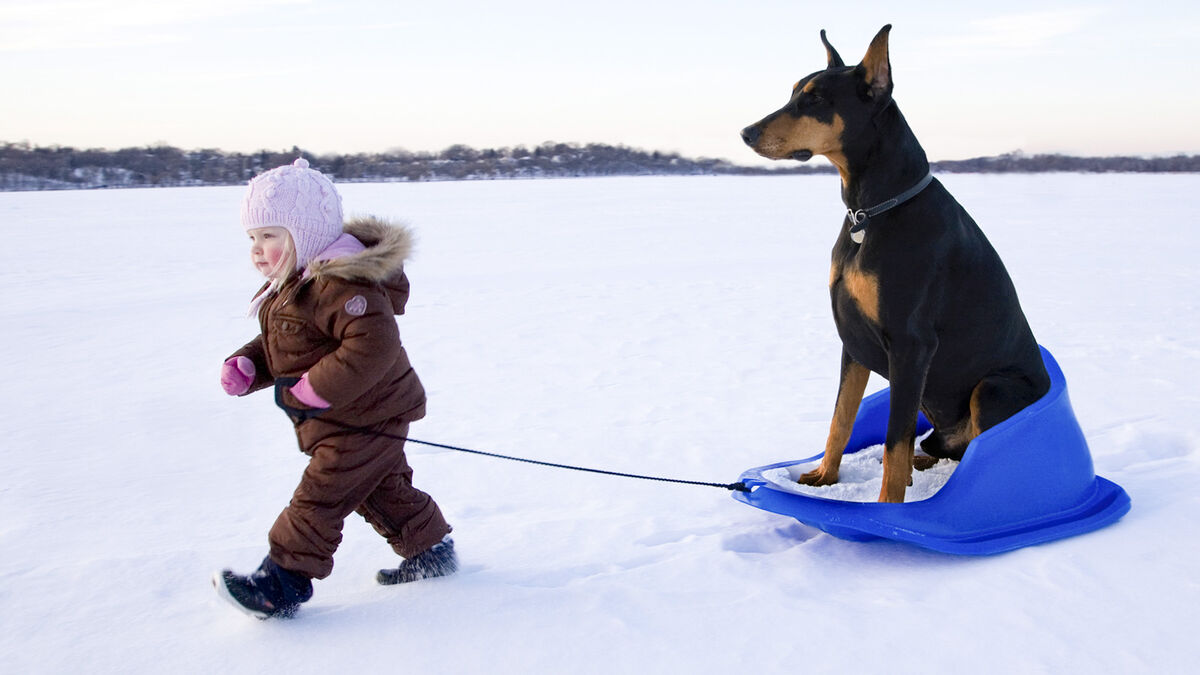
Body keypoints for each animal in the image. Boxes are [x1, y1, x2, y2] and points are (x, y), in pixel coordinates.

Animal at [739, 24, 1051, 499]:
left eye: (815, 98)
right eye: (793, 92)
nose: (746, 133)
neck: (871, 211)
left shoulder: (910, 344)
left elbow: (893, 440)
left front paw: (888, 505)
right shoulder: (853, 341)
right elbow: (841, 420)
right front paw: (824, 478)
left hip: (994, 387)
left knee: (983, 451)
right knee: (942, 448)